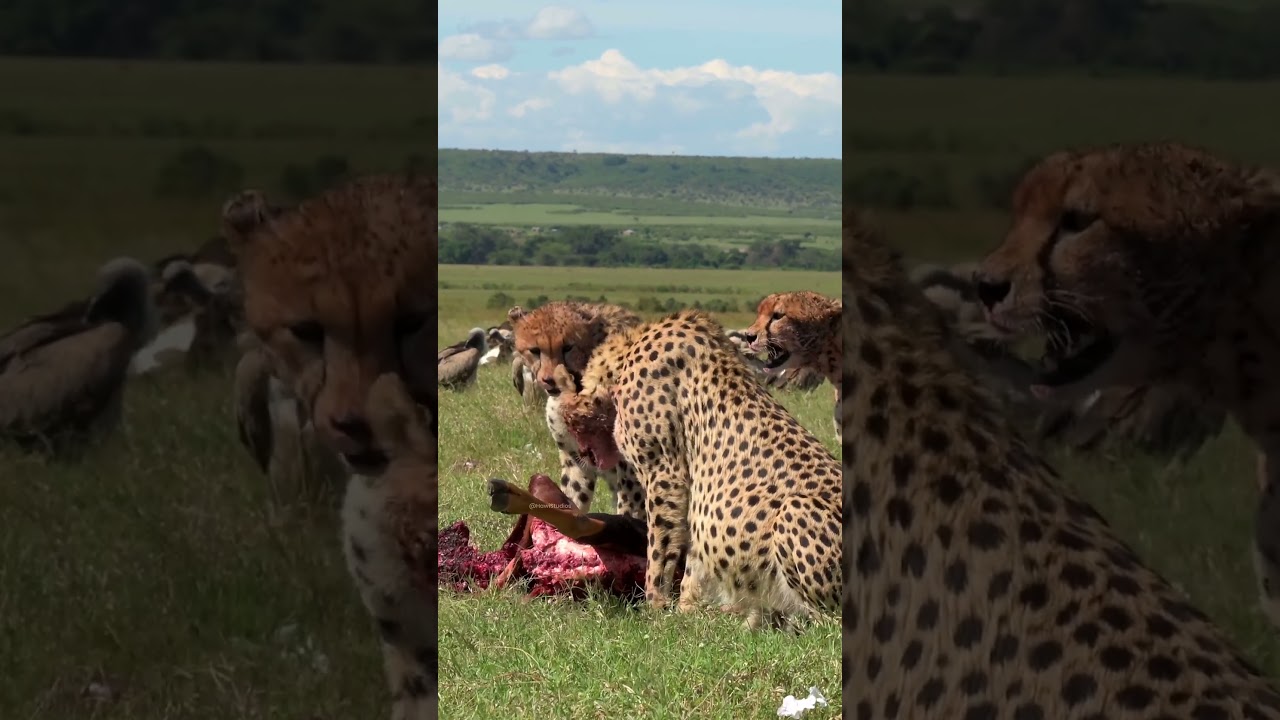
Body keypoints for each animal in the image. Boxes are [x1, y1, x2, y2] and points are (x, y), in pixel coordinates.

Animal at [507, 301, 647, 520]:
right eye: (535, 350)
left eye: (568, 347)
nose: (549, 379)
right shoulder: (575, 459)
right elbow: (570, 498)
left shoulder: (632, 472)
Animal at [558, 309, 841, 630]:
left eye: (576, 428)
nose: (581, 454)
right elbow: (693, 554)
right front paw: (686, 608)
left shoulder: (663, 473)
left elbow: (660, 546)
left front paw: (655, 606)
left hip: (794, 510)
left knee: (826, 622)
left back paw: (762, 618)